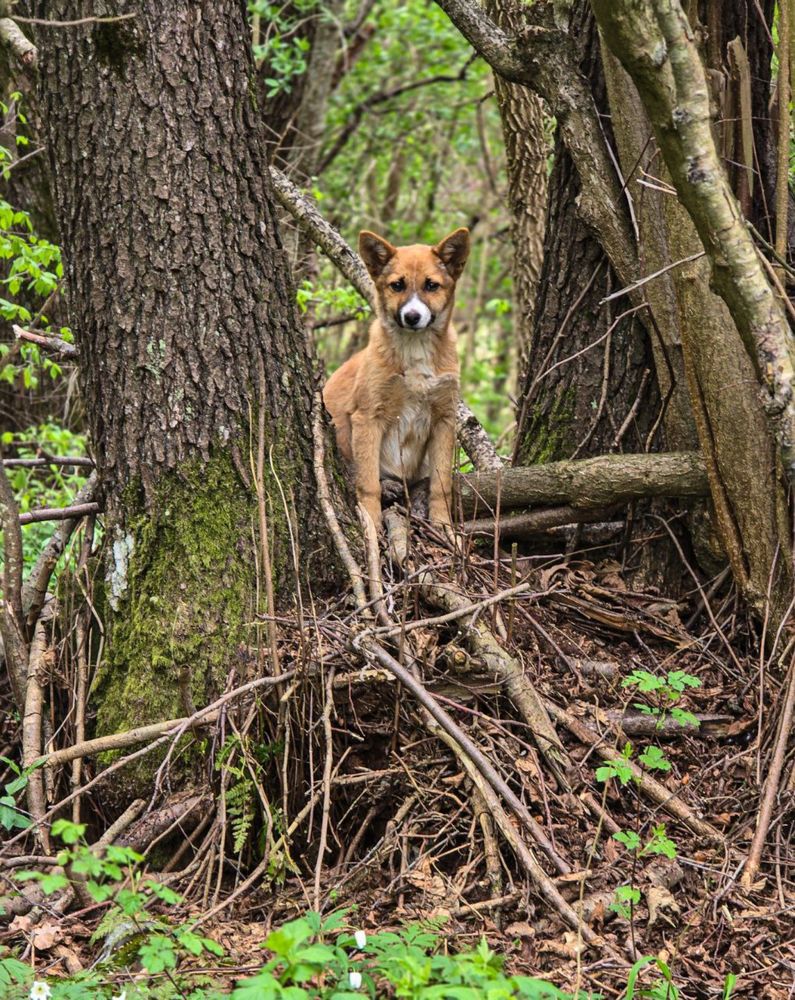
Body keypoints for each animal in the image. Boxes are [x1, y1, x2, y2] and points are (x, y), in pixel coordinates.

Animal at [324, 229, 472, 532]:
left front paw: (443, 526)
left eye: (431, 285)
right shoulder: (367, 417)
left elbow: (441, 485)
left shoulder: (444, 420)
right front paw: (371, 523)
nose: (412, 316)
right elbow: (368, 483)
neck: (415, 350)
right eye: (397, 285)